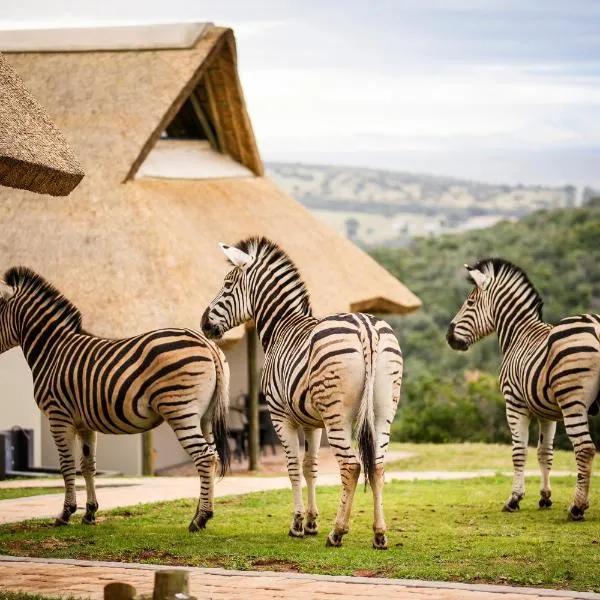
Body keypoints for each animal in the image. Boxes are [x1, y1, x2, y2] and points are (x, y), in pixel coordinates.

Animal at [0, 268, 230, 528]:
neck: (52, 351)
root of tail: (206, 343)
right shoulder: (84, 424)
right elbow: (88, 466)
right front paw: (89, 513)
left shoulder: (58, 417)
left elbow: (67, 466)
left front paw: (66, 513)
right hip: (206, 416)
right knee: (213, 456)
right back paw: (202, 513)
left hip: (180, 410)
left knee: (204, 457)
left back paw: (200, 519)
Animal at [202, 234, 404, 548]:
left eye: (226, 284)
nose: (203, 324)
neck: (281, 327)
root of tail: (366, 328)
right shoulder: (312, 423)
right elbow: (311, 467)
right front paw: (311, 522)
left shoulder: (280, 416)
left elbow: (294, 467)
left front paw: (297, 524)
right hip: (383, 411)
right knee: (379, 466)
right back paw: (380, 534)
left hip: (338, 416)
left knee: (352, 467)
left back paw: (337, 532)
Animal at [446, 258, 600, 520]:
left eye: (470, 302)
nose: (448, 337)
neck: (519, 334)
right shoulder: (548, 413)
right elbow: (545, 453)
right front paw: (545, 497)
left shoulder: (514, 403)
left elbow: (519, 452)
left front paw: (514, 499)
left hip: (573, 400)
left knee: (585, 449)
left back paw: (577, 507)